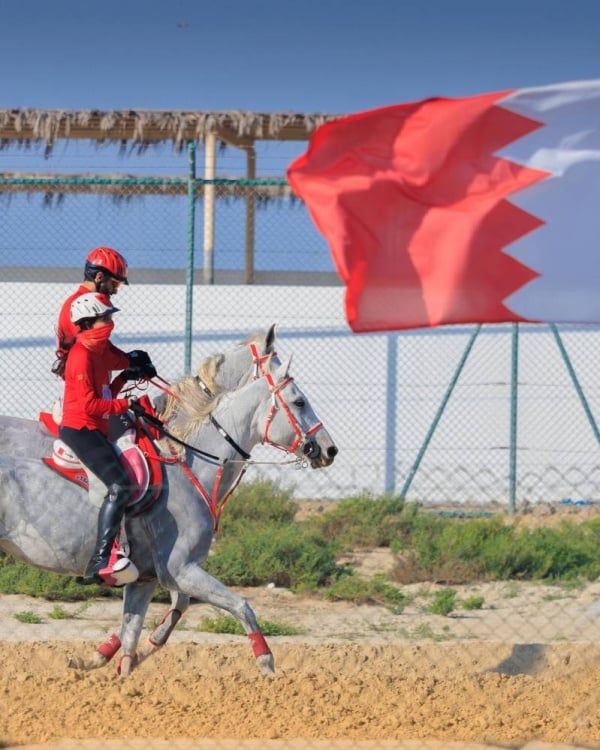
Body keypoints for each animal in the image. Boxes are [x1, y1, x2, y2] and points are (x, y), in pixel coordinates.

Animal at [0, 334, 338, 680]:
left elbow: (134, 634)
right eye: (299, 402)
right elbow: (240, 606)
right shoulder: (181, 569)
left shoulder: (147, 579)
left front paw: (109, 661)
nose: (329, 449)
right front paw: (268, 667)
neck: (188, 462)